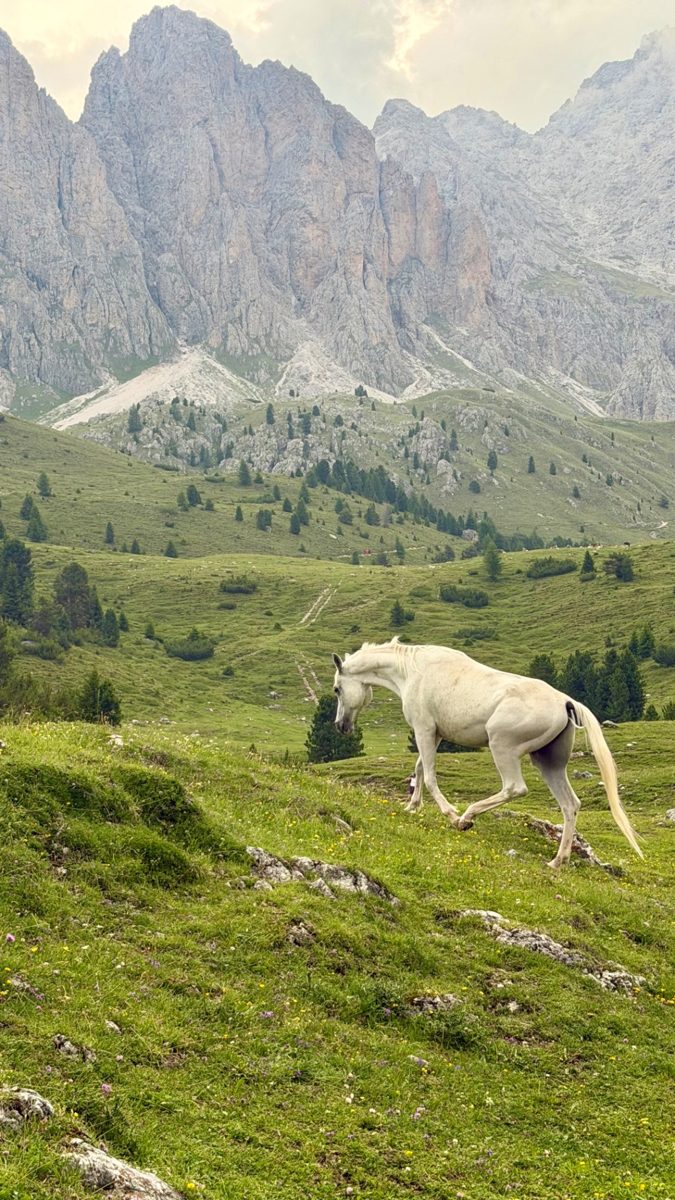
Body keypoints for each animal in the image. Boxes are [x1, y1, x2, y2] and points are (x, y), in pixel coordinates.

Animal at [331, 638, 642, 869]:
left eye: (336, 689)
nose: (340, 726)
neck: (412, 670)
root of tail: (565, 701)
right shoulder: (434, 734)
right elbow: (419, 768)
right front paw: (411, 806)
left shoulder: (424, 730)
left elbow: (429, 776)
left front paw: (451, 815)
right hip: (548, 763)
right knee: (570, 804)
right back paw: (557, 861)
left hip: (502, 747)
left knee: (515, 788)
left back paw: (467, 817)